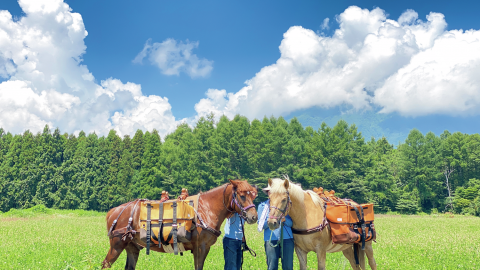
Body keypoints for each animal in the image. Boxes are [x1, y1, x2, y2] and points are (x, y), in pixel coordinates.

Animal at [101, 179, 258, 270]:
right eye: (242, 195)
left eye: (253, 196)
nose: (254, 217)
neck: (206, 209)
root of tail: (114, 211)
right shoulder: (200, 247)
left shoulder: (204, 248)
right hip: (116, 245)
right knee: (105, 264)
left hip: (132, 246)